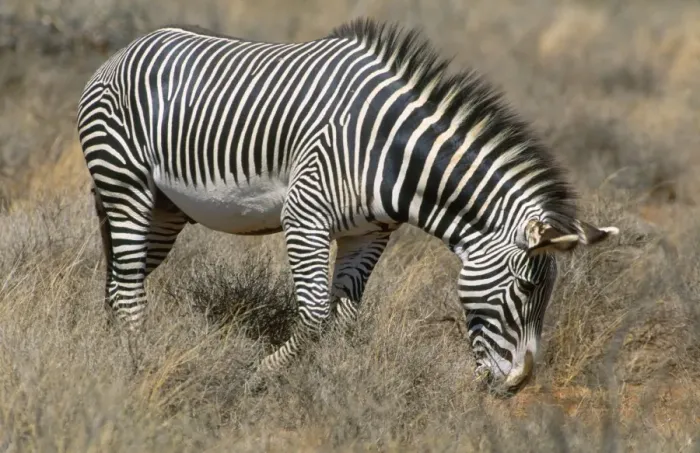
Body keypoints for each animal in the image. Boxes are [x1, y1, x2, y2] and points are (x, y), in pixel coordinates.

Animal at [76, 18, 618, 393]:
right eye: (526, 289)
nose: (518, 387)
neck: (392, 153)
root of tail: (127, 48)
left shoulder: (369, 233)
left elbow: (343, 317)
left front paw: (334, 381)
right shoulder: (305, 217)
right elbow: (316, 314)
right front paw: (259, 379)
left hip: (164, 211)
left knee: (121, 277)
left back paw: (113, 349)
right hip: (124, 184)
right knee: (128, 285)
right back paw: (136, 364)